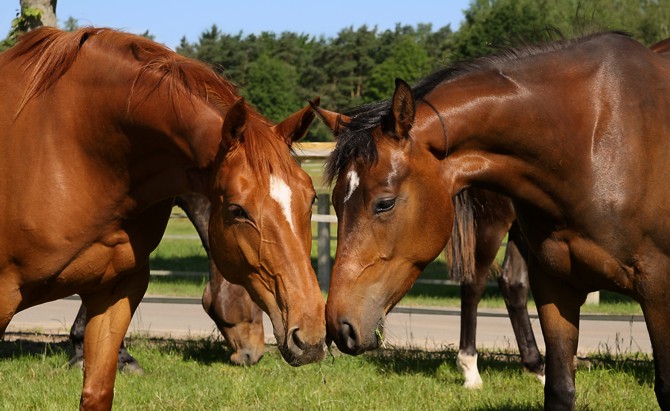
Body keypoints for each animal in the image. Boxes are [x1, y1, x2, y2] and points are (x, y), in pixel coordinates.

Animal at [318, 33, 670, 411]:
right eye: (335, 202)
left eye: (384, 203)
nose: (340, 326)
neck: (595, 142)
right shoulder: (555, 285)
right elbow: (560, 388)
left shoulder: (657, 291)